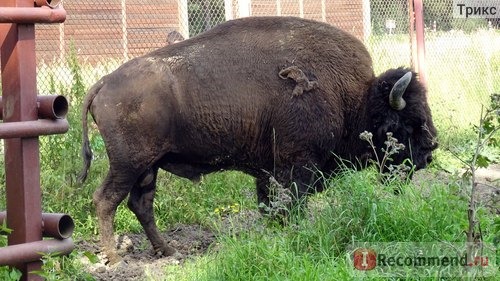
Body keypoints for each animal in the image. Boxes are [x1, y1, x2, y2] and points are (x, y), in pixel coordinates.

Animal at [79, 16, 438, 262]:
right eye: (409, 123)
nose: (430, 152)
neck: (354, 98)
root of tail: (104, 82)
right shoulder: (298, 166)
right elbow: (291, 203)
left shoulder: (270, 171)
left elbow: (270, 205)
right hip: (128, 163)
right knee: (106, 200)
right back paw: (115, 259)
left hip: (148, 166)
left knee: (141, 204)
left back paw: (169, 251)